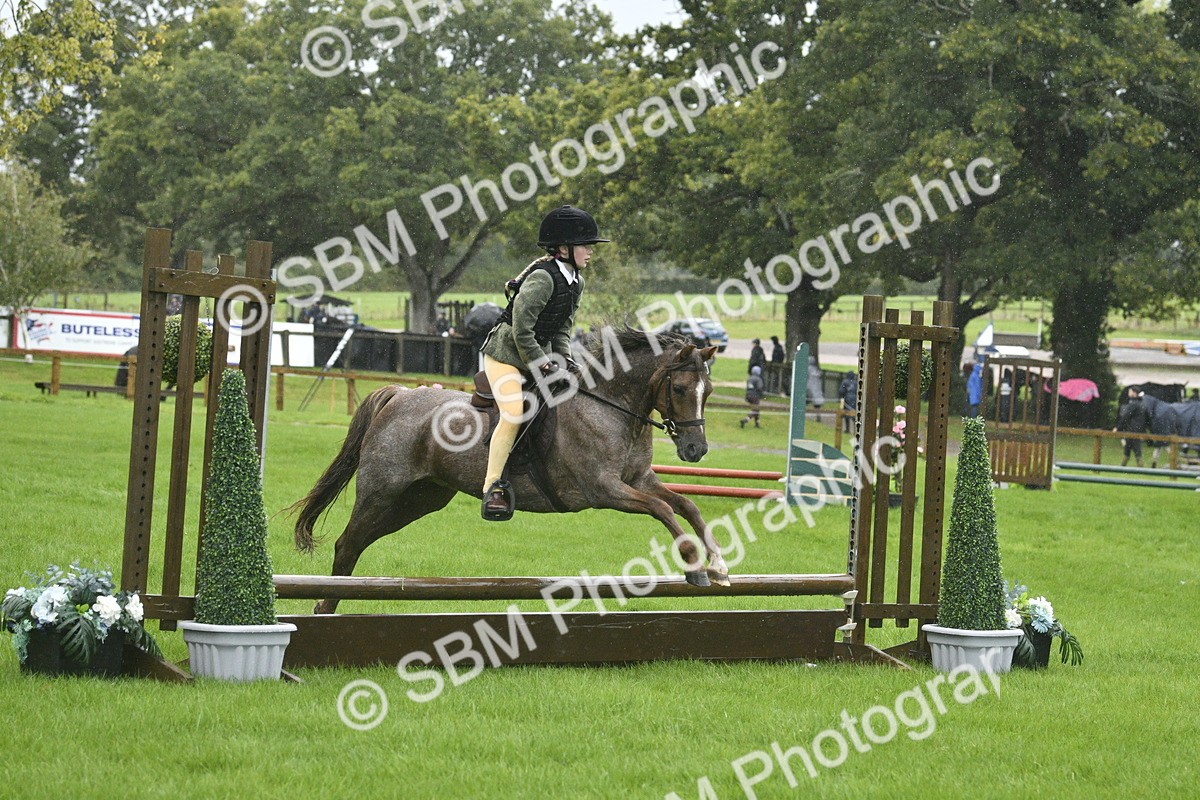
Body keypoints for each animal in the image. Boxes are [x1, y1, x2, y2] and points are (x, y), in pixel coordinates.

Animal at [291, 328, 727, 614]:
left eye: (709, 391)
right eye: (680, 389)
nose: (696, 450)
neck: (611, 405)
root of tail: (399, 394)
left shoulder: (640, 480)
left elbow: (686, 505)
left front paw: (719, 566)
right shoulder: (604, 489)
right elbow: (663, 510)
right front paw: (694, 566)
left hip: (419, 499)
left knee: (358, 542)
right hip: (382, 491)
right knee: (347, 544)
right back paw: (325, 607)